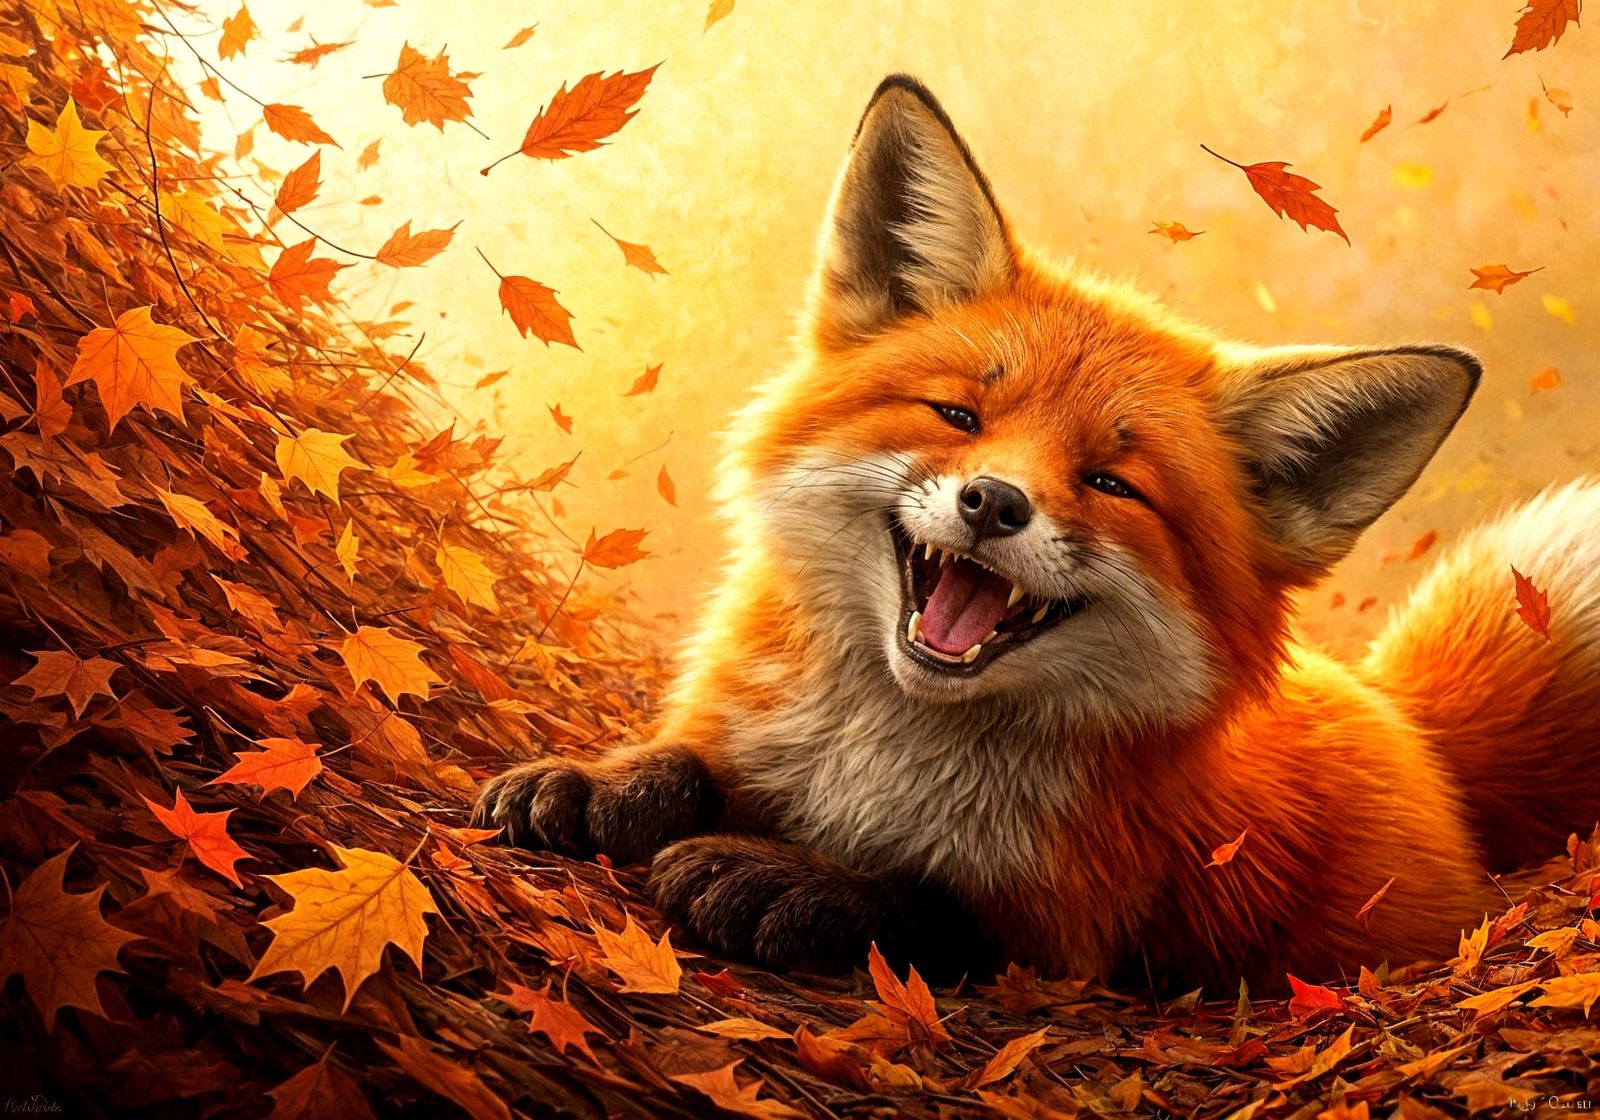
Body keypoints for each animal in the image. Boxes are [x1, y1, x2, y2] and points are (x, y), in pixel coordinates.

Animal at [474, 75, 1600, 992]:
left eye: (1109, 483)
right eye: (958, 417)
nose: (993, 503)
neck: (875, 762)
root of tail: (1417, 731)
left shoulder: (1074, 935)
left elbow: (931, 906)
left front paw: (788, 881)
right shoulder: (750, 744)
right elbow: (689, 764)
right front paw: (602, 782)